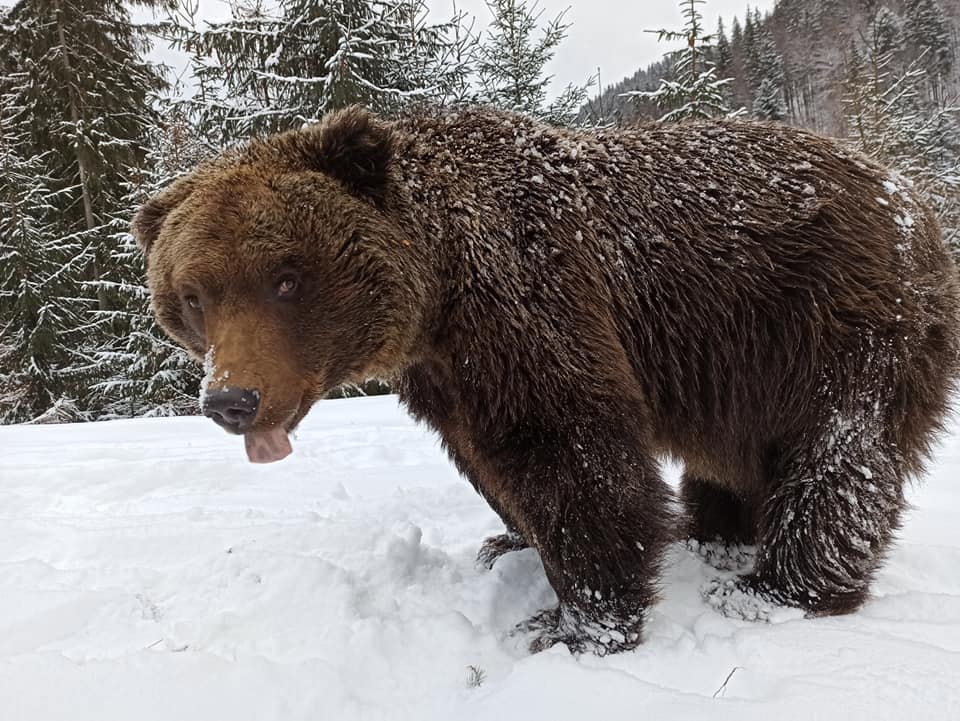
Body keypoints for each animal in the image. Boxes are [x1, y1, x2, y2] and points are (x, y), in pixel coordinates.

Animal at [131, 105, 960, 652]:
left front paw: (575, 622)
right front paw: (509, 541)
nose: (231, 399)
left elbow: (572, 453)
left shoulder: (531, 301)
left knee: (839, 453)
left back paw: (777, 588)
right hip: (742, 365)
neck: (439, 294)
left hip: (833, 320)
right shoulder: (447, 376)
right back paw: (715, 528)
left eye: (286, 278)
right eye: (193, 294)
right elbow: (489, 461)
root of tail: (914, 196)